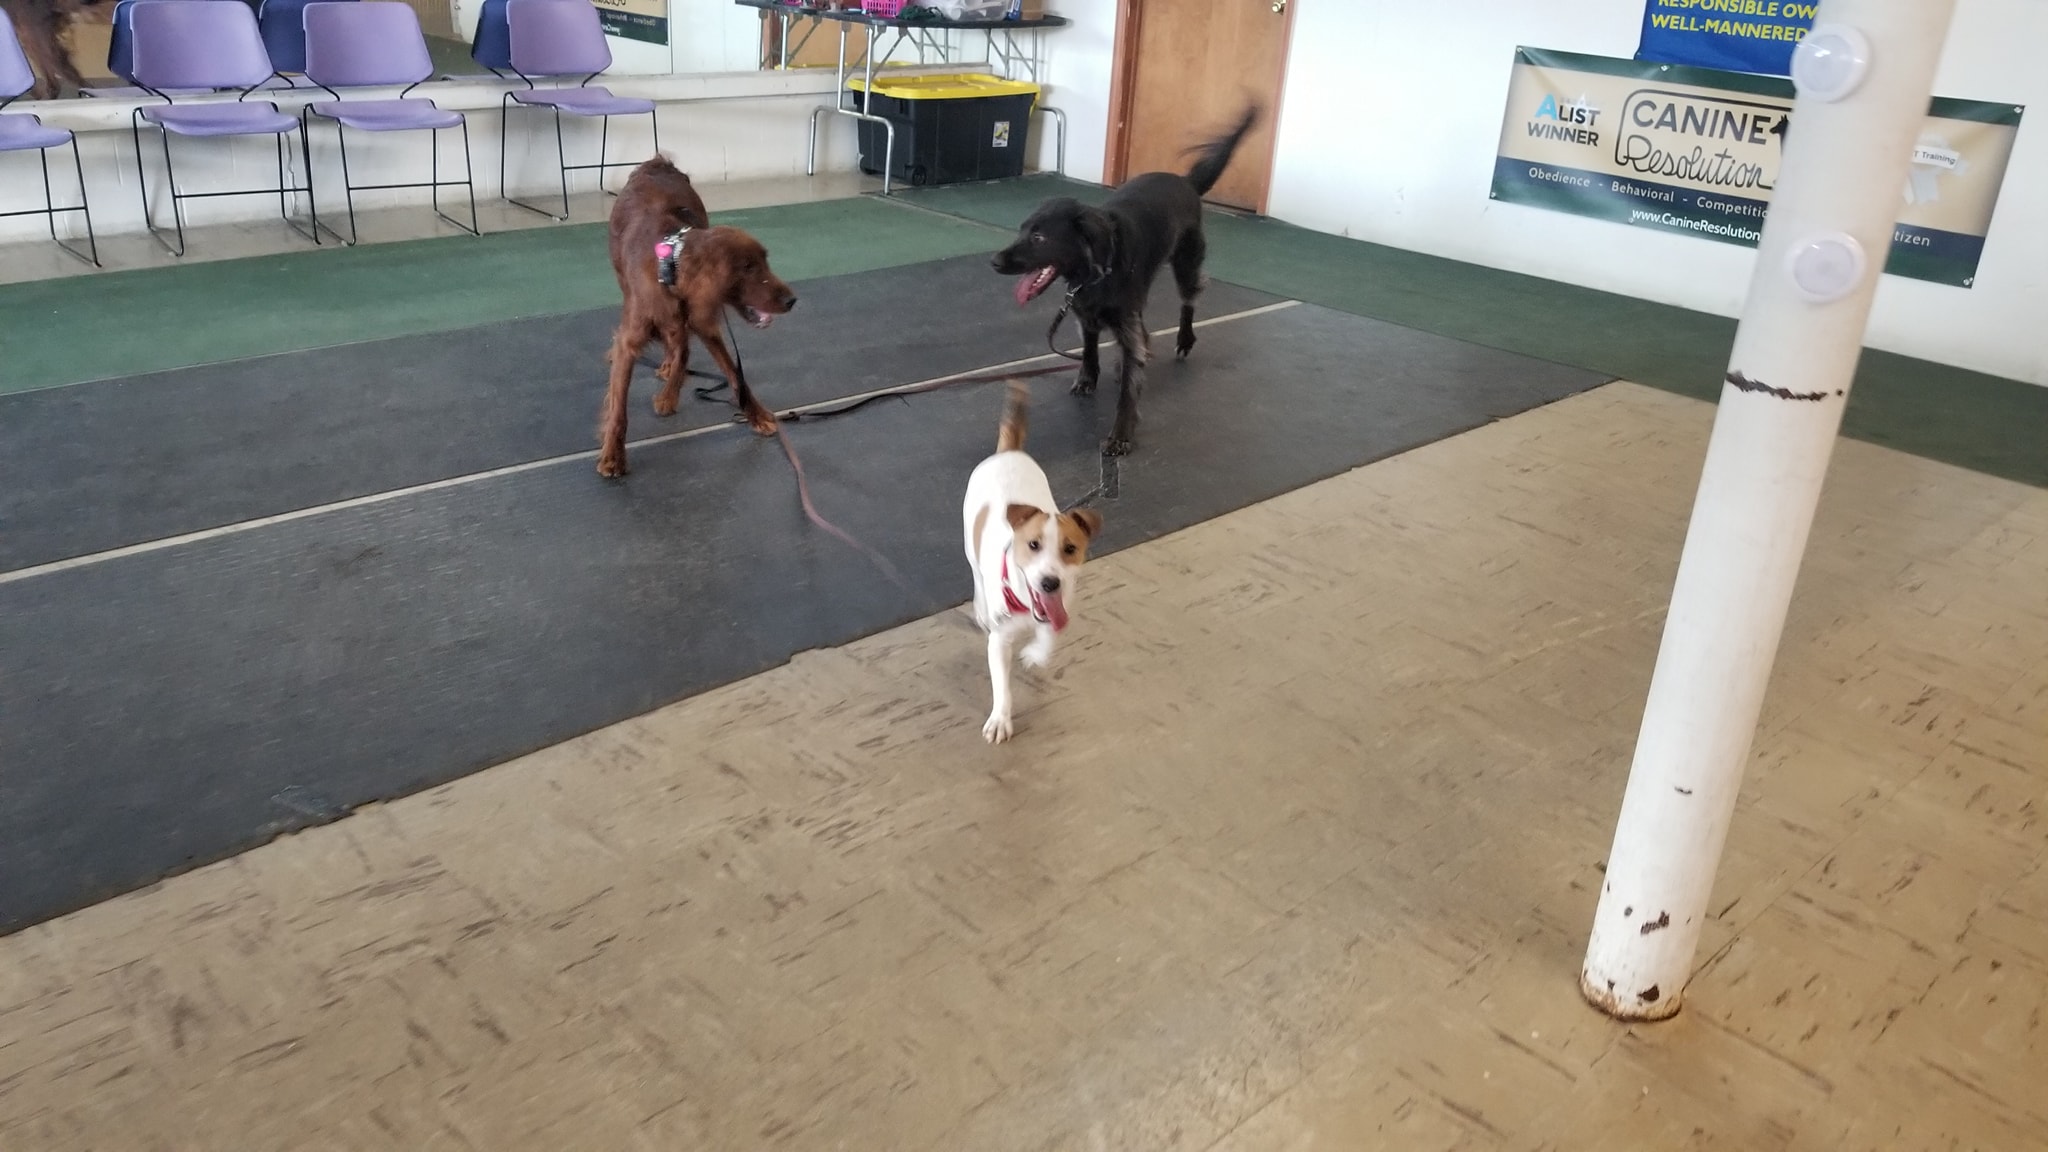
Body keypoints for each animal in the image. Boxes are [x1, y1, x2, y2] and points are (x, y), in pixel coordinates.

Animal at [600, 155, 797, 477]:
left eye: (765, 261)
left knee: (680, 347)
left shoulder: (703, 321)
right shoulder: (632, 340)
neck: (670, 267)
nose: (792, 300)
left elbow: (733, 373)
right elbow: (619, 406)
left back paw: (669, 385)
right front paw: (613, 456)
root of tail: (657, 162)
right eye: (748, 267)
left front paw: (757, 415)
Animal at [963, 382, 1102, 743]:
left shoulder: (1058, 609)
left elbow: (1048, 637)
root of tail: (1008, 452)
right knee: (976, 577)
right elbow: (1002, 686)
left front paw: (1035, 655)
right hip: (970, 545)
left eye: (1070, 548)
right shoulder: (999, 642)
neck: (1027, 603)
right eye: (1033, 545)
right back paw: (980, 607)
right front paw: (1000, 719)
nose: (1049, 582)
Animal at [990, 106, 1260, 456]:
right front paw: (1087, 379)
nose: (995, 262)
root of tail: (1185, 182)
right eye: (1022, 230)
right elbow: (1090, 351)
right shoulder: (1086, 315)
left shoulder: (1123, 323)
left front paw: (1120, 434)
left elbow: (1128, 392)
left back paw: (1184, 338)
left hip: (1185, 264)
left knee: (1189, 299)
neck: (1094, 271)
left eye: (1039, 237)